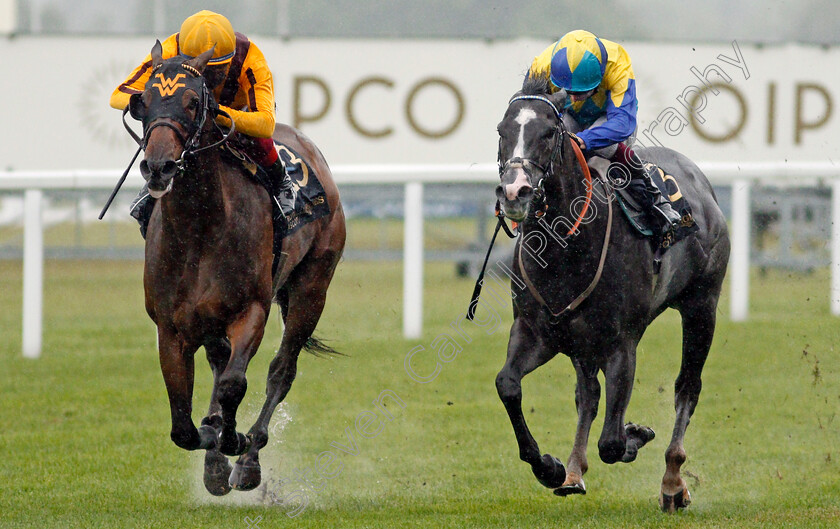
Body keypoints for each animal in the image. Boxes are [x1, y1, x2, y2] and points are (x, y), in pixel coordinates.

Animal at [128, 41, 344, 496]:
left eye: (193, 103)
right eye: (144, 101)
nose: (159, 167)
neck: (199, 229)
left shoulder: (252, 311)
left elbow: (234, 385)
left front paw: (233, 440)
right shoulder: (170, 327)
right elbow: (182, 424)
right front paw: (210, 438)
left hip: (312, 287)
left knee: (281, 371)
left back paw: (247, 460)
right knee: (219, 363)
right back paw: (215, 461)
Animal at [492, 78, 728, 512]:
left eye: (548, 133)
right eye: (502, 131)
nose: (515, 192)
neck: (565, 249)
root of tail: (701, 184)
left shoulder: (622, 343)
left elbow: (613, 441)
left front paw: (637, 434)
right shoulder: (536, 331)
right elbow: (509, 385)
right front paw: (549, 467)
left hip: (702, 307)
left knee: (687, 387)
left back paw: (673, 481)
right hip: (582, 342)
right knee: (588, 394)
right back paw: (573, 470)